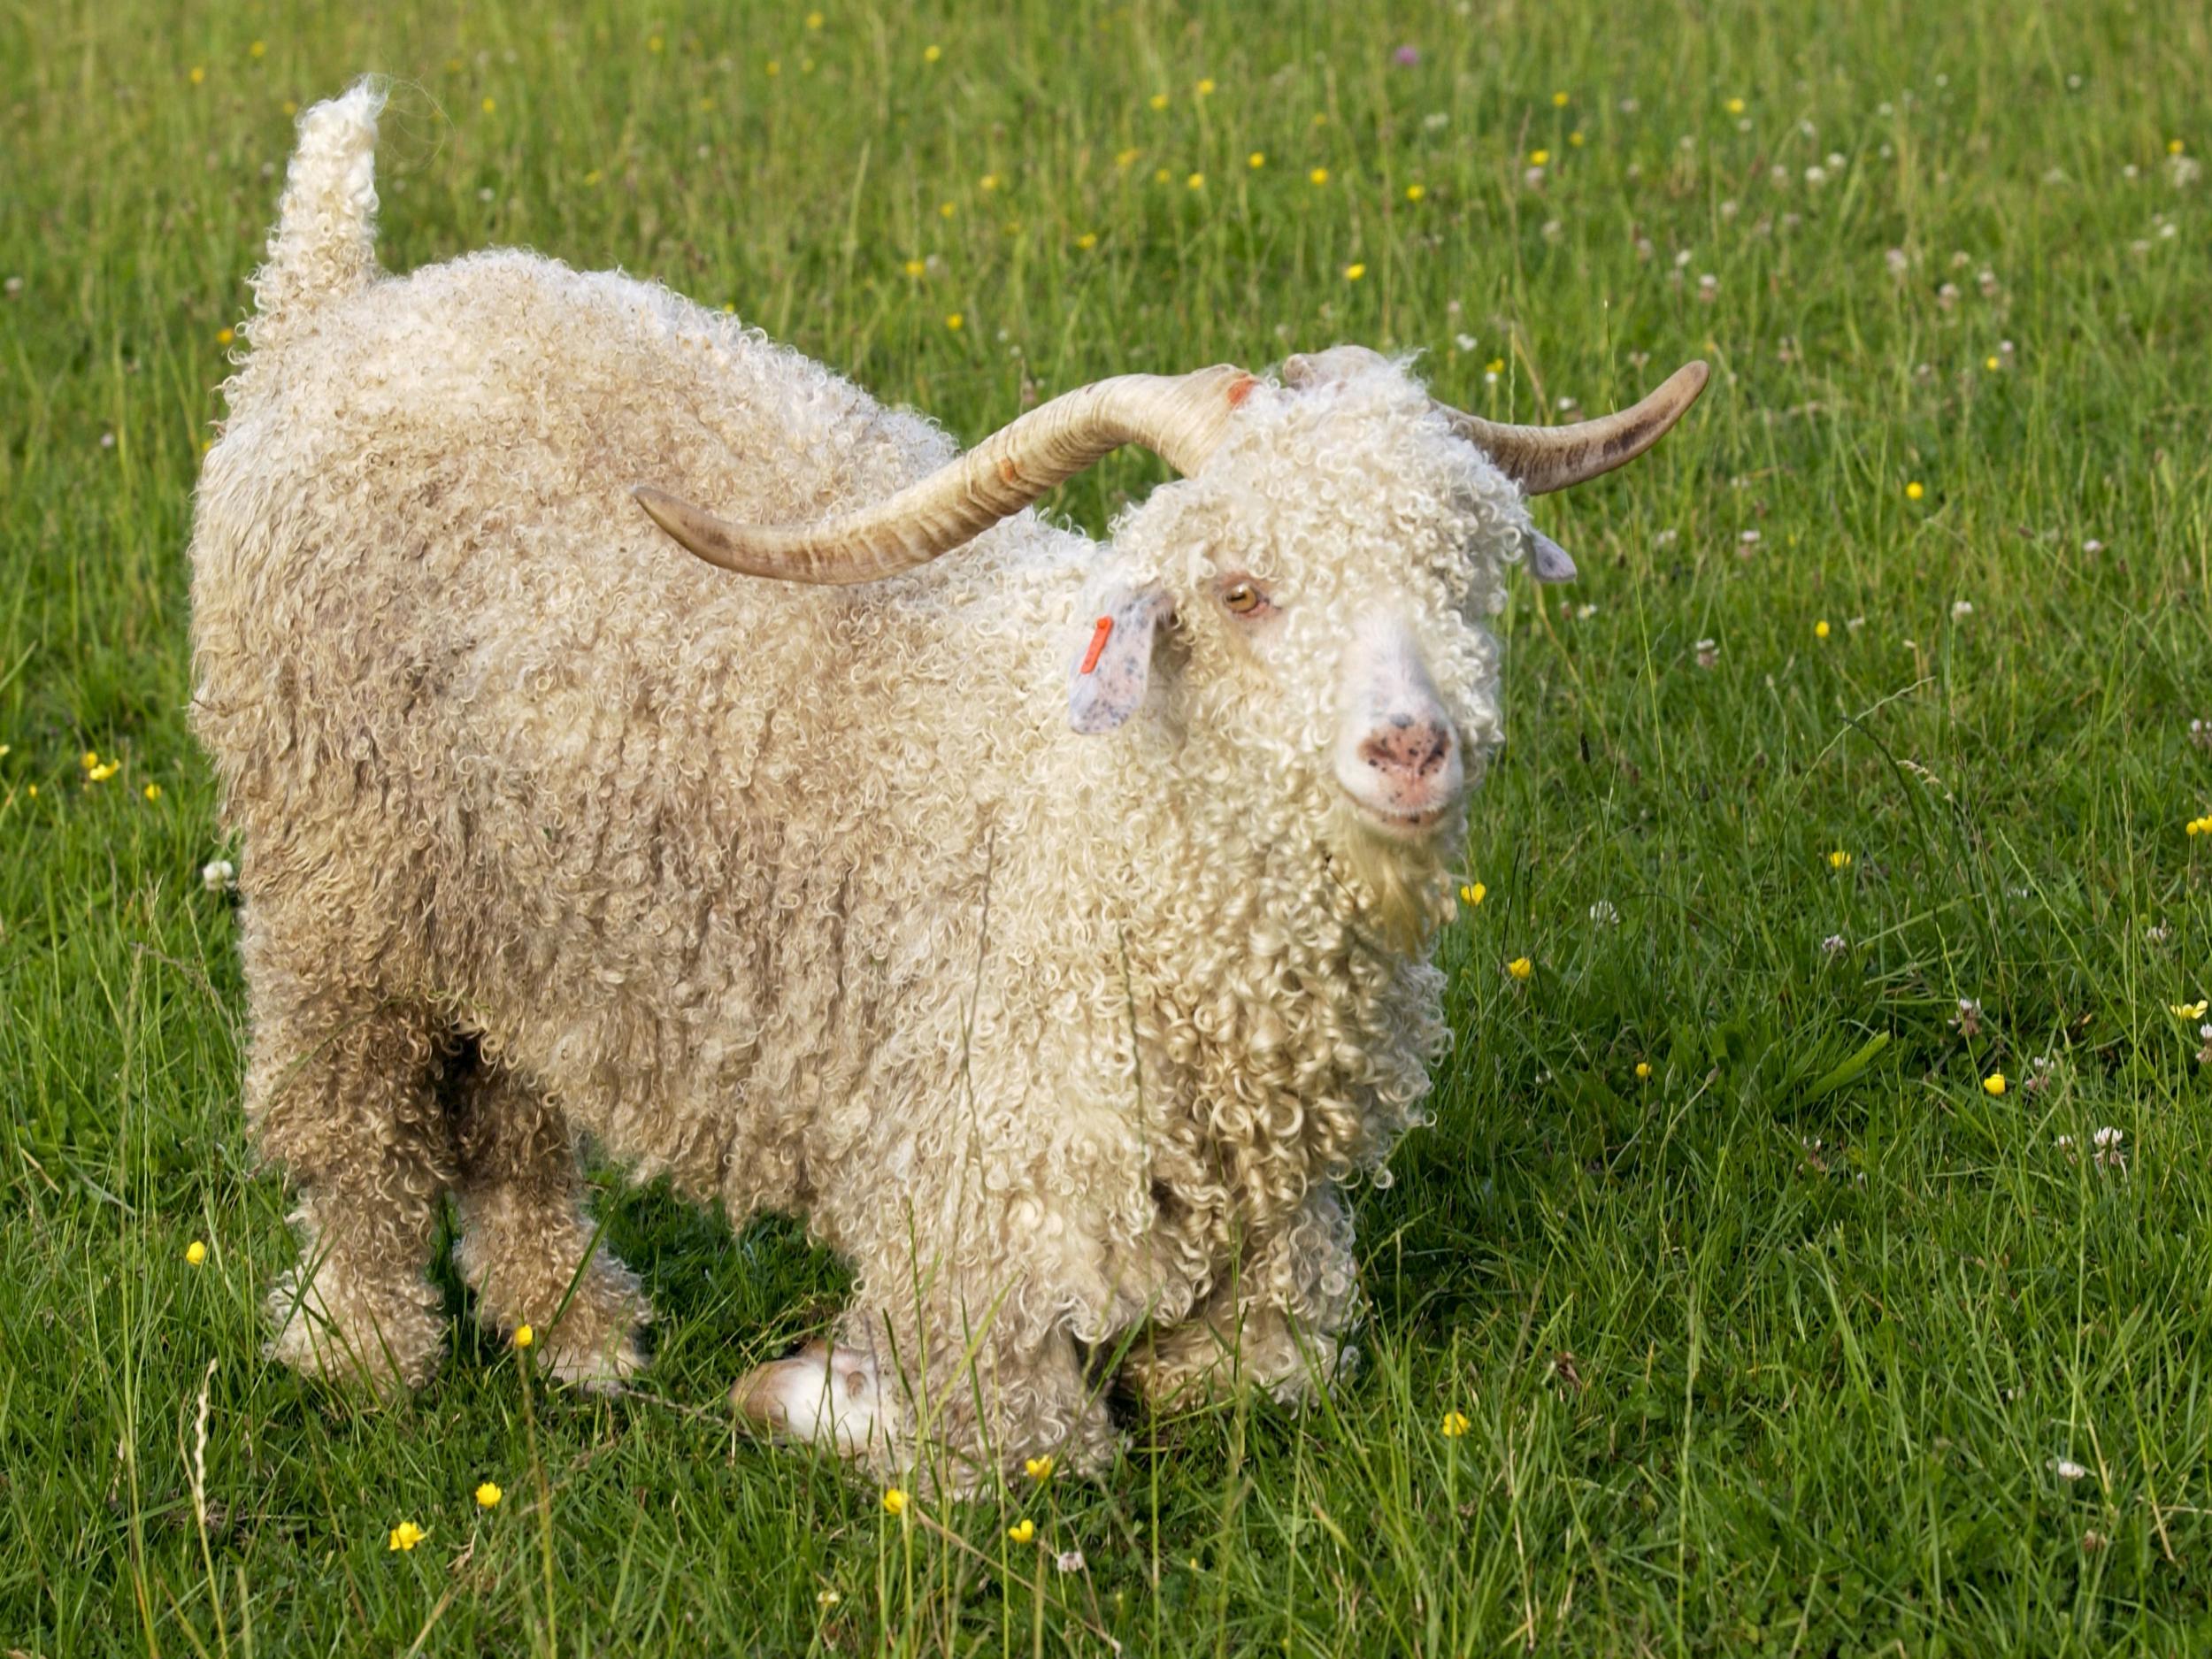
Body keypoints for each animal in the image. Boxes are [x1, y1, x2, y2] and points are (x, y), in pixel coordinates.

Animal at [195, 78, 1708, 1486]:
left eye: (1473, 569)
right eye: (1239, 590)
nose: (1409, 747)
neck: (1091, 822)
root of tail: (335, 307)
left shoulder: (1284, 1239)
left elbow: (1245, 1385)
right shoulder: (980, 1226)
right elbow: (1029, 1448)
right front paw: (806, 1388)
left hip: (516, 898)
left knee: (510, 1109)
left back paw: (572, 1332)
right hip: (330, 870)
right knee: (352, 1128)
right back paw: (361, 1351)